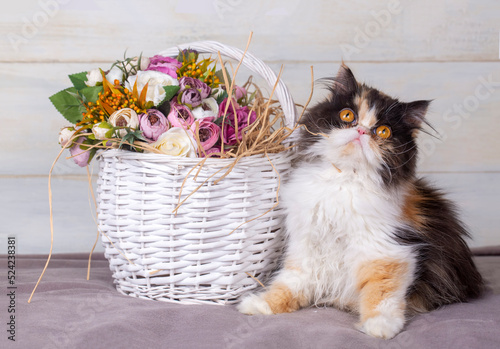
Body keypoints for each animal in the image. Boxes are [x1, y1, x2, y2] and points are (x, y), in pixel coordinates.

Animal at [238, 64, 484, 338]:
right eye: (347, 116)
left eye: (383, 131)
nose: (361, 131)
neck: (342, 180)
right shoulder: (305, 245)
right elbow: (288, 283)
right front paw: (261, 304)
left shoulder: (386, 250)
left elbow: (381, 293)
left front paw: (380, 326)